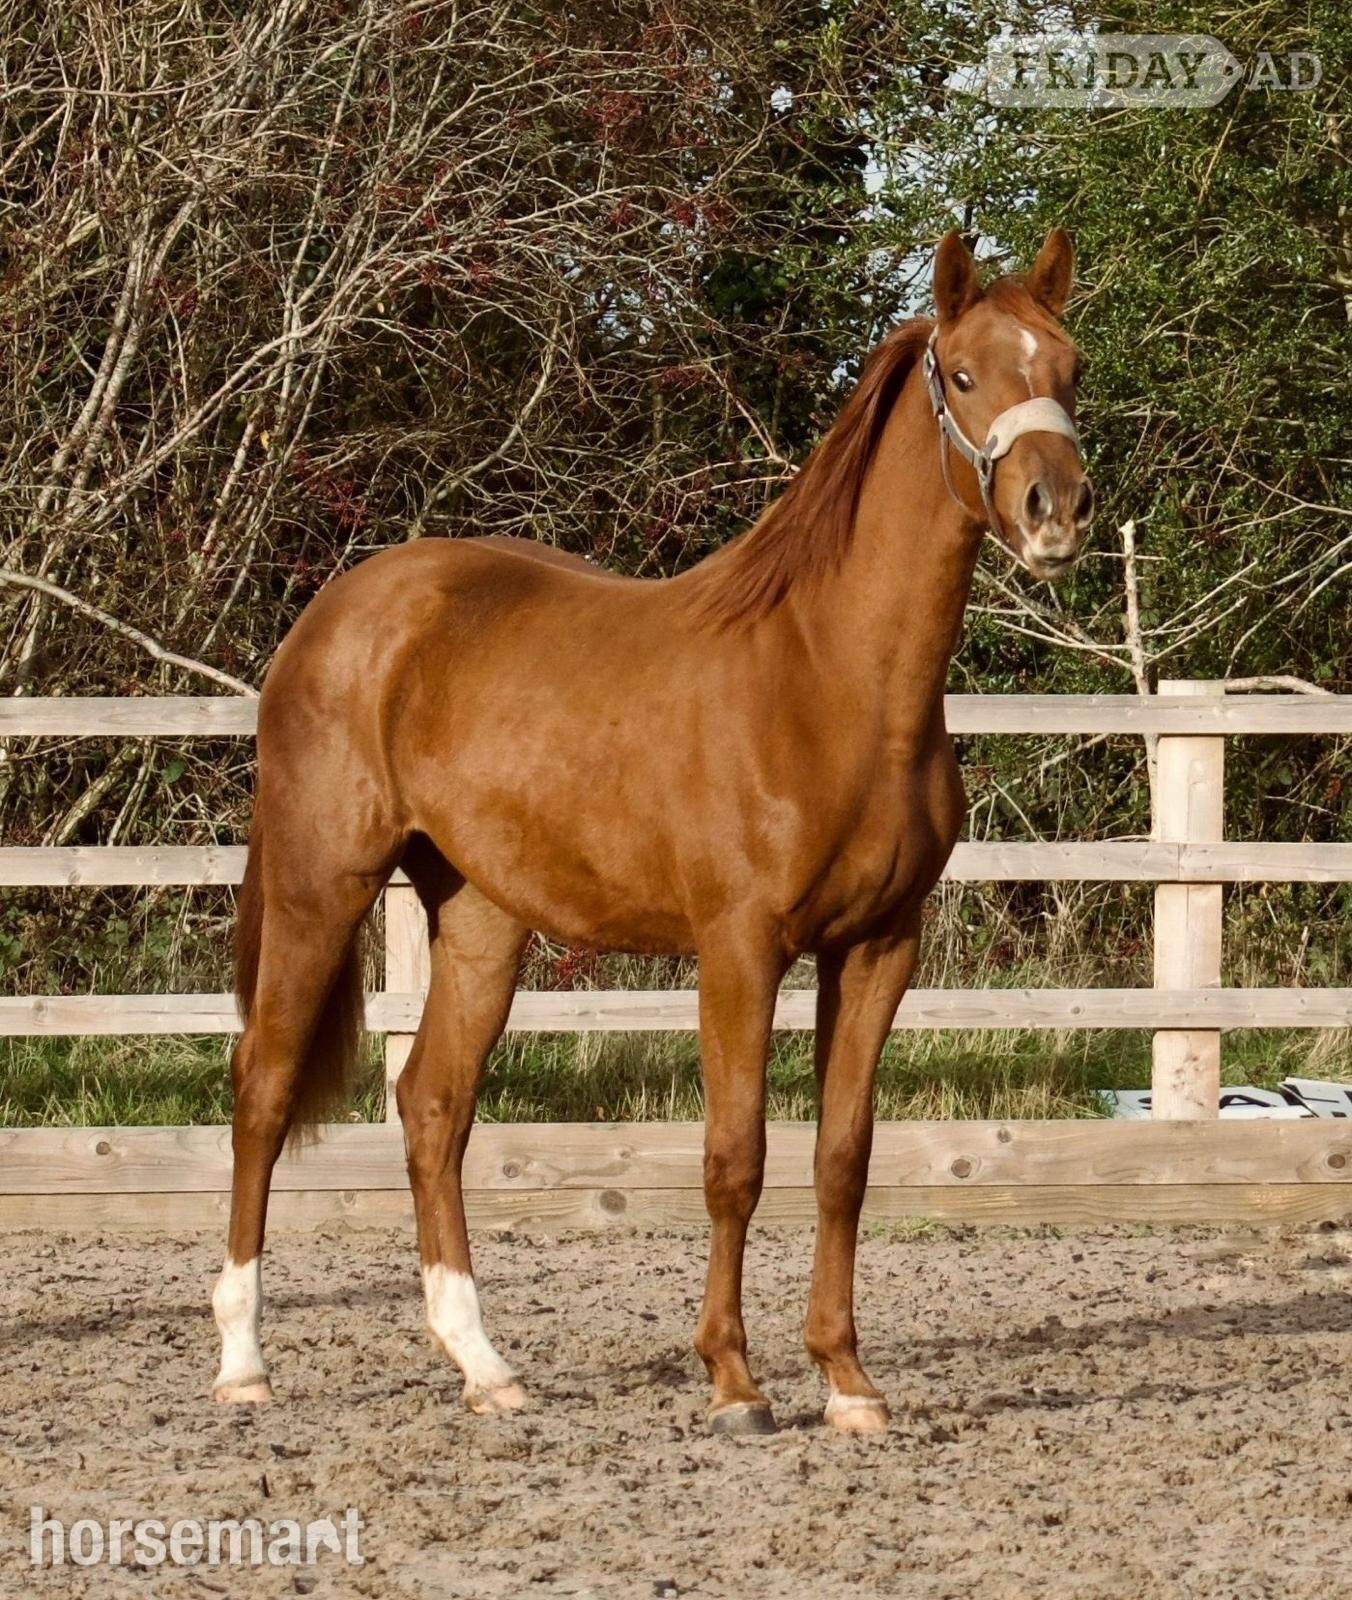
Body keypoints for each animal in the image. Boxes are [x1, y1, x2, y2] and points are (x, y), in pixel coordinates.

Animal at [211, 227, 1093, 1435]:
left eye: (1068, 369)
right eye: (961, 375)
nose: (1055, 508)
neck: (827, 680)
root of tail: (334, 615)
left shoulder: (879, 947)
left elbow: (843, 1157)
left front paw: (846, 1382)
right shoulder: (739, 947)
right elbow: (735, 1156)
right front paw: (733, 1381)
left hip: (480, 916)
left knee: (433, 1104)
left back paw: (485, 1368)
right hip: (319, 885)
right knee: (262, 1089)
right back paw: (243, 1364)